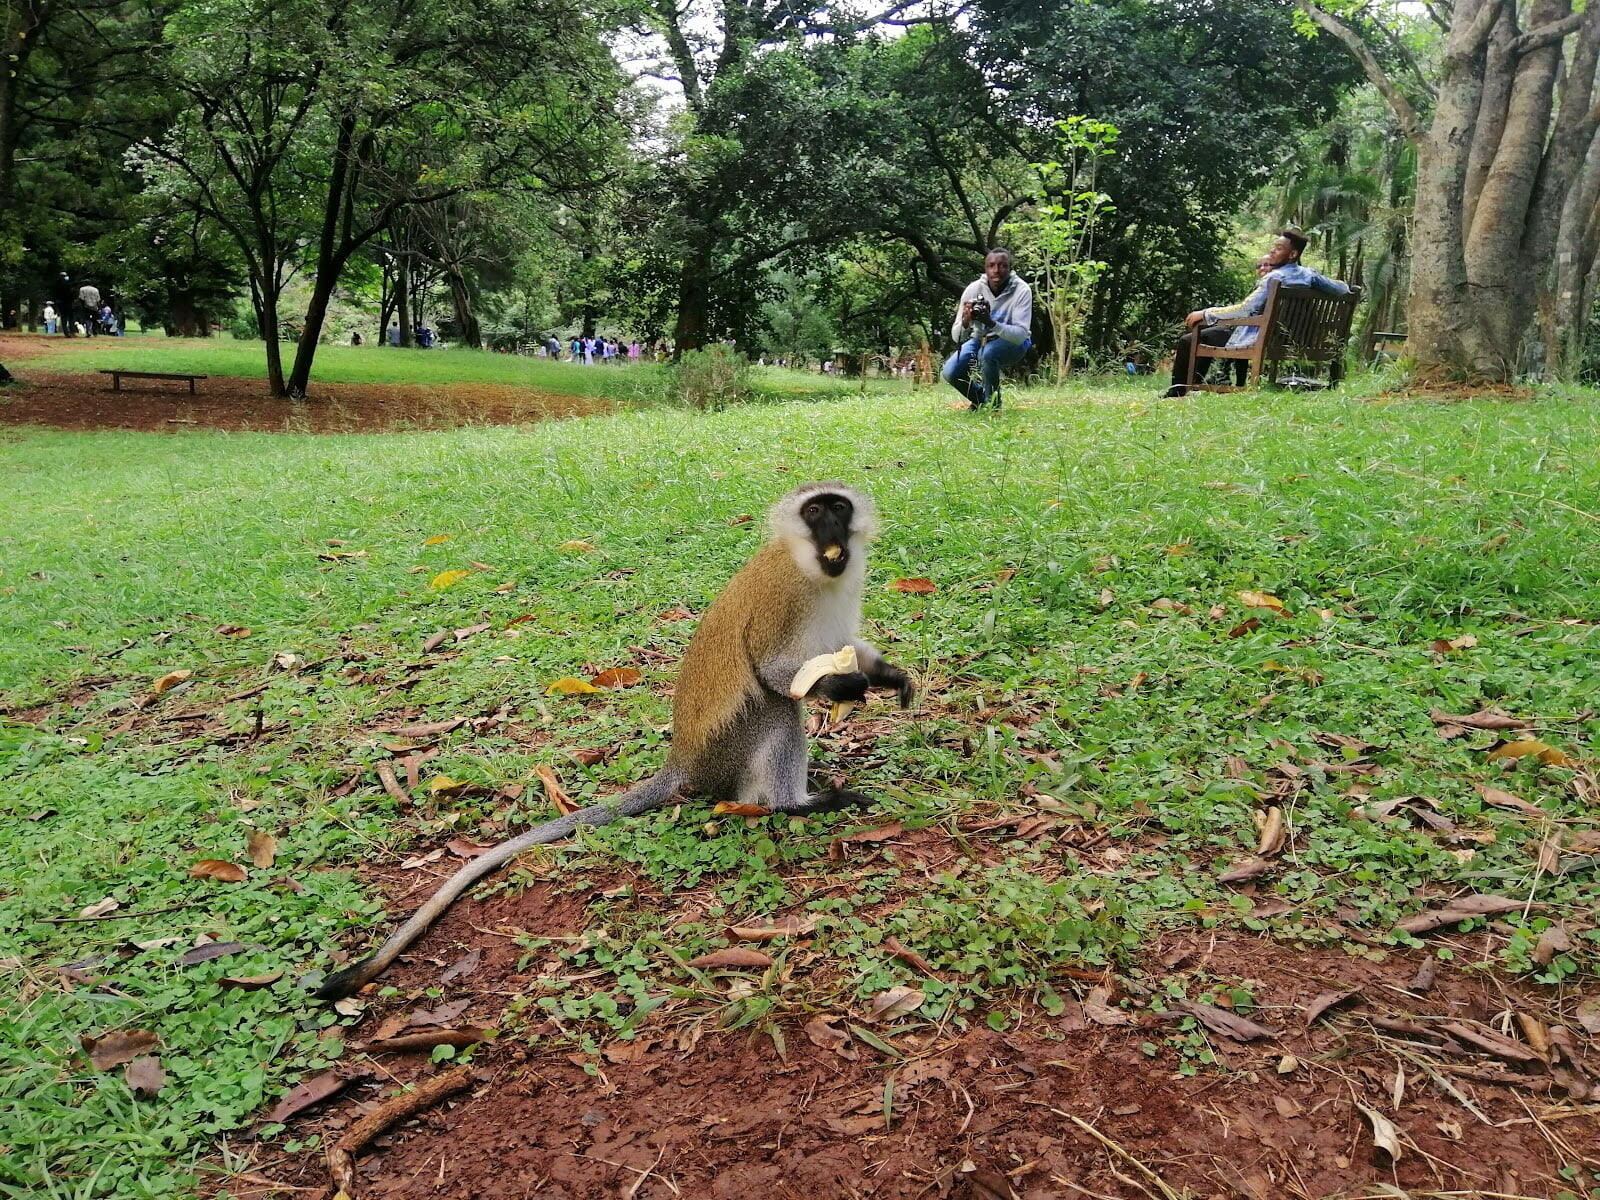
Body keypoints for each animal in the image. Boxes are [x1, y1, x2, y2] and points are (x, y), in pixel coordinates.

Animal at [312, 483, 915, 998]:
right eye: (814, 512)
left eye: (838, 508)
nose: (832, 530)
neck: (817, 571)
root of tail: (682, 761)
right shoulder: (783, 598)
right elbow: (773, 672)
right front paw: (841, 685)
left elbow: (847, 646)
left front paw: (887, 674)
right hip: (724, 750)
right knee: (775, 707)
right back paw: (796, 803)